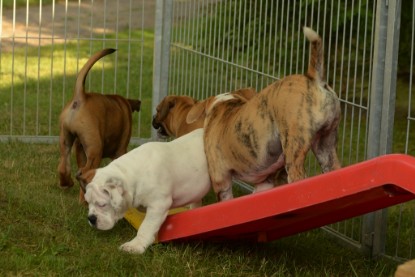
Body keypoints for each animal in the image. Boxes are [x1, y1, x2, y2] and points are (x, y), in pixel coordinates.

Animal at [57, 47, 141, 198]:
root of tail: (81, 97)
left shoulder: (80, 149)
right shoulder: (121, 150)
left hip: (66, 139)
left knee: (64, 166)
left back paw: (69, 184)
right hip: (95, 148)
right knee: (85, 172)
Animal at [79, 128, 211, 253]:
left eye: (102, 204)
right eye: (88, 203)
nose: (91, 218)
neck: (132, 173)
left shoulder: (158, 205)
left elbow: (146, 226)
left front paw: (135, 246)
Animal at [188, 27, 342, 199]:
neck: (223, 103)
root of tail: (312, 78)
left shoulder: (221, 181)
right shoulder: (264, 182)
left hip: (294, 150)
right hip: (326, 147)